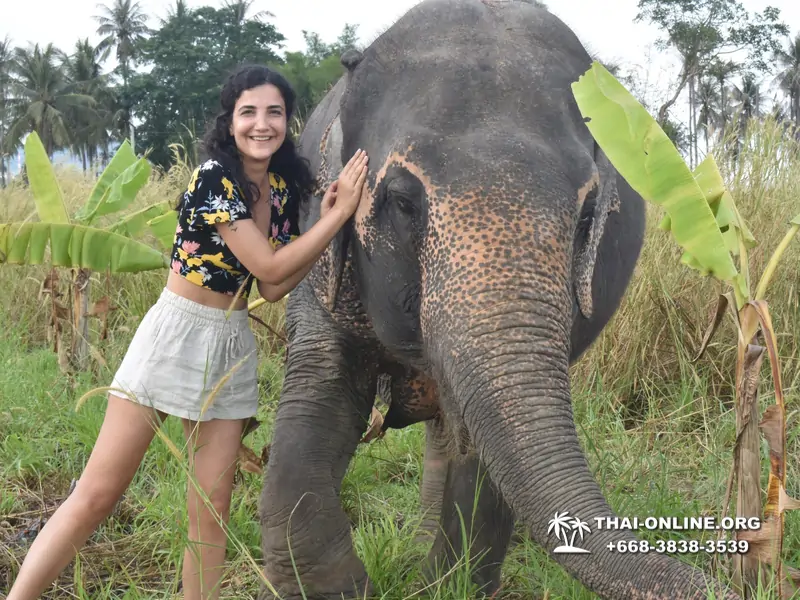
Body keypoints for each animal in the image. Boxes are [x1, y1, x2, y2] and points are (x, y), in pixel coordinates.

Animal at [257, 1, 740, 599]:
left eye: (589, 215)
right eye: (401, 201)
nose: (735, 582)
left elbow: (479, 440)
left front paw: (448, 585)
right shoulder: (317, 251)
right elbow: (320, 383)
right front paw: (348, 586)